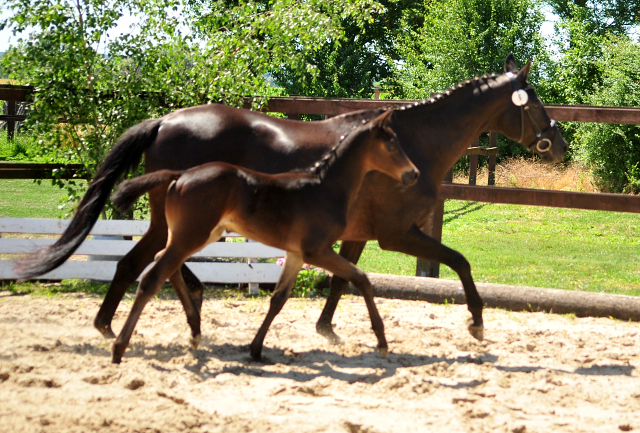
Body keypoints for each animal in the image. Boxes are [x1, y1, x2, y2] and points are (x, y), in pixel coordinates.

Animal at [110, 109, 420, 362]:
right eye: (391, 143)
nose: (414, 174)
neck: (324, 188)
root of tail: (180, 175)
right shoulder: (317, 251)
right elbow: (362, 279)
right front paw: (382, 342)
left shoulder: (295, 255)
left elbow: (278, 299)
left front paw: (256, 349)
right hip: (192, 235)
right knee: (152, 277)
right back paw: (119, 346)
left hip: (199, 234)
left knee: (164, 262)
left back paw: (194, 333)